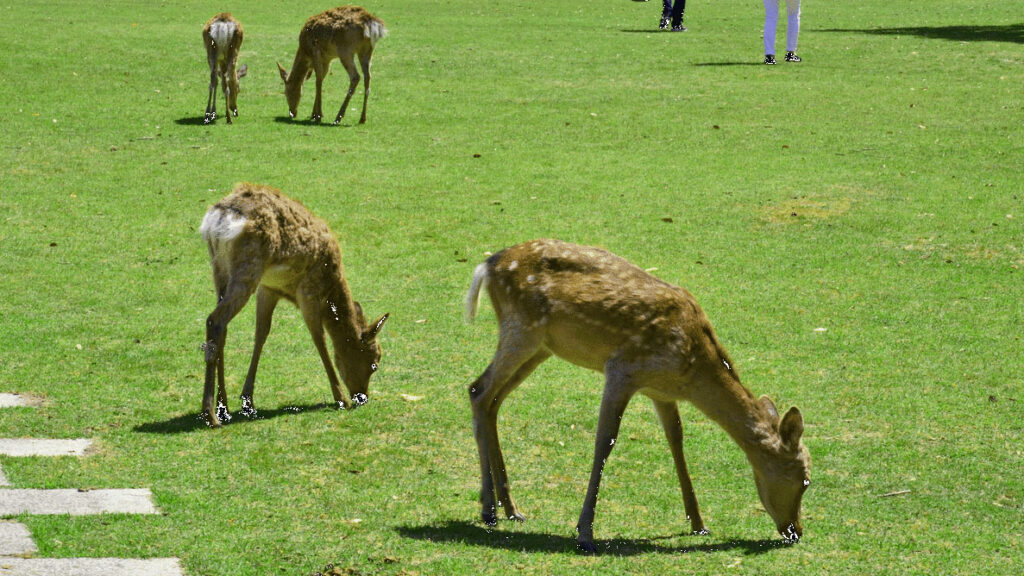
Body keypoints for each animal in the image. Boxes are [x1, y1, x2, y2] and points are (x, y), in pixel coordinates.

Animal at [197, 181, 389, 424]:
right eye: (374, 362)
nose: (362, 397)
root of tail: (220, 217)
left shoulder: (269, 289)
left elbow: (261, 334)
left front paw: (248, 400)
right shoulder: (309, 289)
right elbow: (319, 338)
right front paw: (341, 398)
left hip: (220, 269)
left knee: (223, 327)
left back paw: (223, 407)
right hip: (248, 268)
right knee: (215, 320)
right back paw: (210, 414)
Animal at [468, 238, 811, 553]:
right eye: (805, 479)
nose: (796, 530)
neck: (692, 369)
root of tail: (487, 265)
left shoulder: (661, 391)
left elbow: (676, 440)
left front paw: (699, 522)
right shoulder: (622, 370)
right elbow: (605, 442)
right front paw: (585, 532)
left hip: (541, 347)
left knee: (492, 400)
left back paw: (510, 508)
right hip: (521, 330)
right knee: (479, 391)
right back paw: (489, 510)